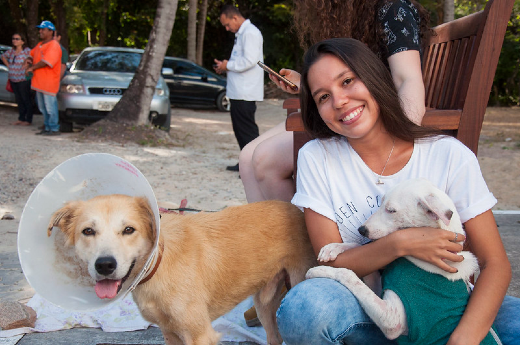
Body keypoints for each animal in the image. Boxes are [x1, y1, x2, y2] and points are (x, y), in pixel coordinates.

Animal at [46, 194, 314, 344]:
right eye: (88, 231)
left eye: (129, 230)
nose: (104, 265)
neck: (159, 263)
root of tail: (297, 210)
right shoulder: (171, 333)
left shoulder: (200, 336)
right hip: (264, 305)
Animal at [304, 179, 500, 342]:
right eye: (381, 203)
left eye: (391, 210)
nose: (362, 230)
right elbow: (363, 250)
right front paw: (333, 248)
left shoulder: (391, 320)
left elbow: (349, 275)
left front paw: (319, 270)